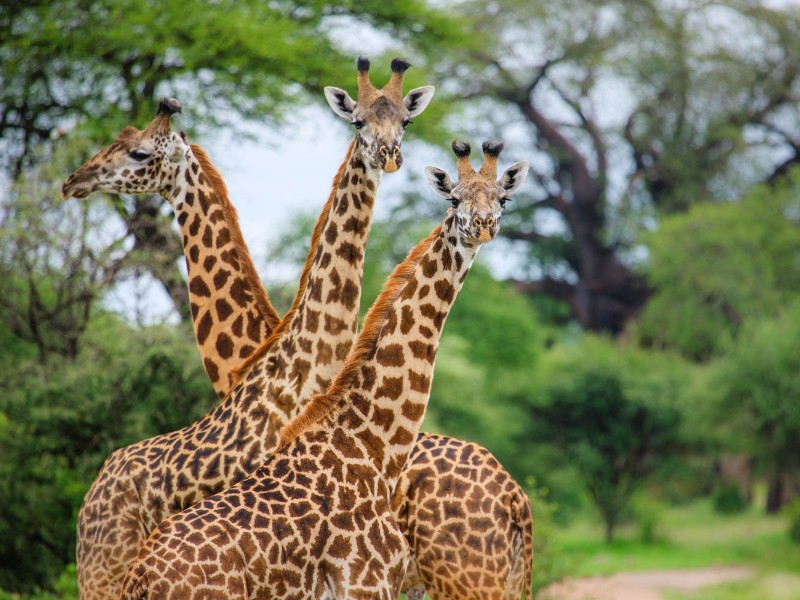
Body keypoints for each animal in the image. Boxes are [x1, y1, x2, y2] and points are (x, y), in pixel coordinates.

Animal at [60, 58, 435, 600]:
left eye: (404, 121)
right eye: (357, 121)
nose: (74, 180)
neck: (299, 364)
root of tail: (94, 489)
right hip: (104, 572)